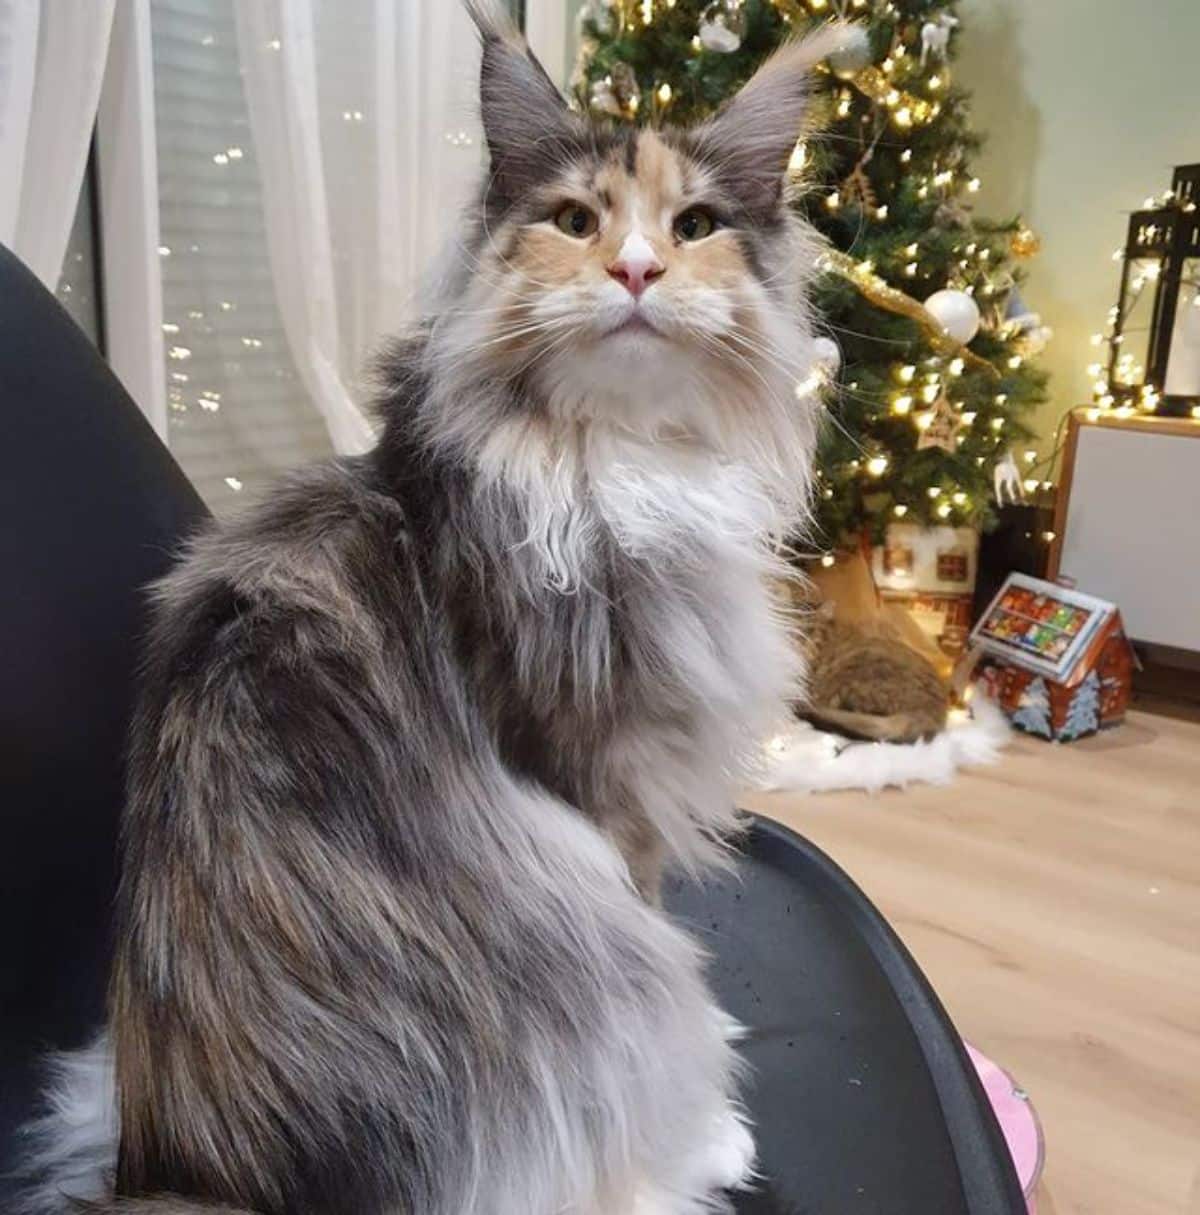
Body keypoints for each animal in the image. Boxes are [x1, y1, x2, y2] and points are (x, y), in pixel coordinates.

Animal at [18, 4, 845, 1210]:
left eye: (694, 226)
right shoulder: (604, 780)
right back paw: (706, 1141)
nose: (638, 269)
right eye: (576, 221)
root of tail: (202, 1166)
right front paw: (709, 1113)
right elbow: (653, 903)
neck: (608, 460)